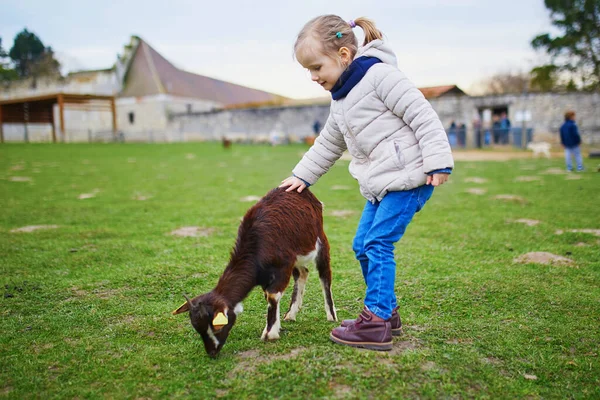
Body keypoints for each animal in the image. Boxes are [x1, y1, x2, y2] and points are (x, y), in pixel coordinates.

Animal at [172, 187, 338, 356]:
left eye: (217, 327)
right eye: (198, 328)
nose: (212, 352)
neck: (255, 249)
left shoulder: (282, 267)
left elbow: (272, 296)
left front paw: (269, 334)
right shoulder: (267, 274)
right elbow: (269, 297)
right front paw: (277, 326)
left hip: (319, 240)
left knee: (324, 274)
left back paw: (331, 315)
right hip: (297, 256)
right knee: (303, 272)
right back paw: (291, 314)